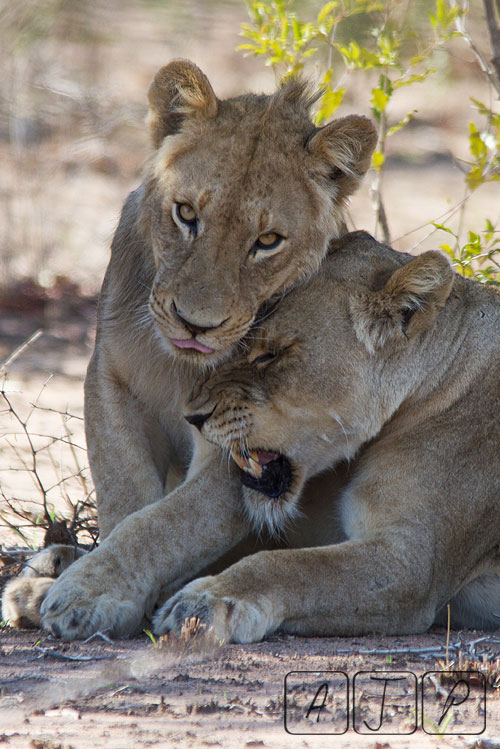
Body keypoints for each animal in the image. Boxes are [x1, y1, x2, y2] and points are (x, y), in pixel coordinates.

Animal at [2, 61, 376, 639]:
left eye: (268, 241)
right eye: (185, 213)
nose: (195, 325)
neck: (178, 365)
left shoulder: (247, 432)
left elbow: (166, 524)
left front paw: (89, 593)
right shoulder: (109, 378)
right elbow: (126, 495)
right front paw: (86, 585)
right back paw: (47, 569)